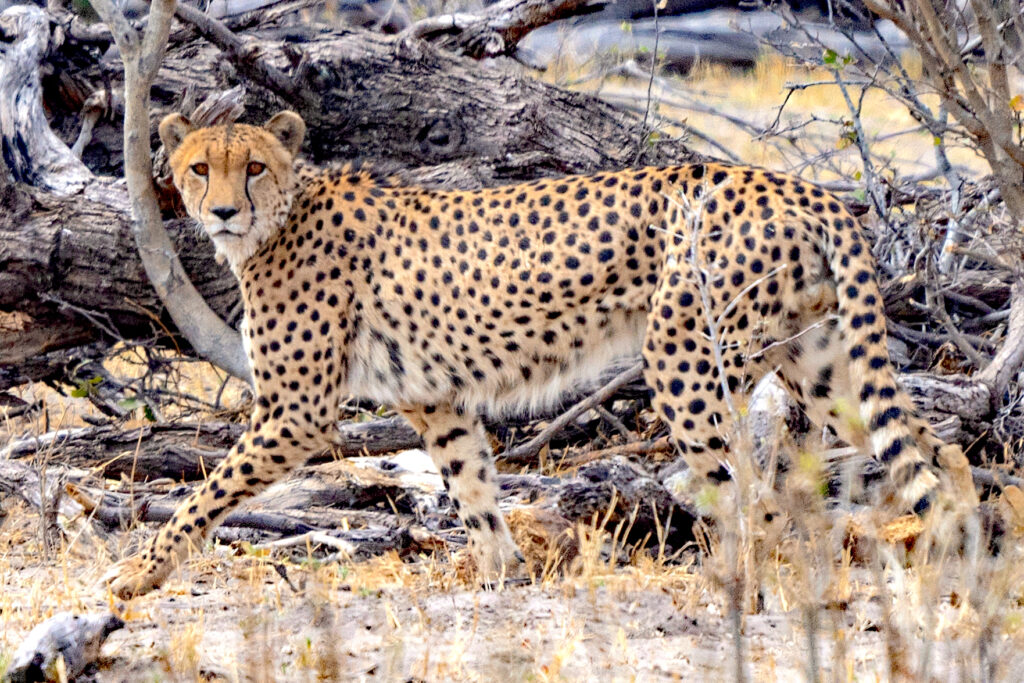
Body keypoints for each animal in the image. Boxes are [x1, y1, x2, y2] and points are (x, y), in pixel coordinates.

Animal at [108, 109, 946, 593]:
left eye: (252, 166)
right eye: (199, 166)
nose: (221, 211)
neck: (279, 219)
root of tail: (798, 185)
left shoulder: (296, 411)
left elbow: (206, 494)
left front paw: (138, 572)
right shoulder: (435, 398)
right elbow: (473, 486)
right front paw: (499, 575)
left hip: (686, 360)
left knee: (754, 495)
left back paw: (732, 587)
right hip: (819, 360)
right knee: (931, 454)